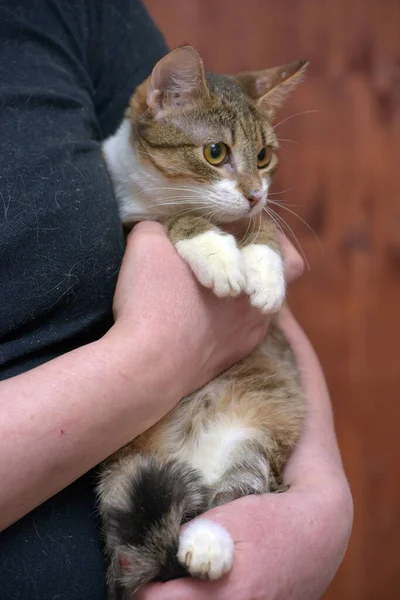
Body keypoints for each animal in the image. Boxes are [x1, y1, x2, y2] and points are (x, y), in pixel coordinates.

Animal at [99, 44, 306, 596]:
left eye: (264, 156)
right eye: (216, 152)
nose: (255, 192)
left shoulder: (255, 215)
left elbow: (263, 229)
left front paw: (265, 270)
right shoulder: (129, 220)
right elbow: (170, 218)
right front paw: (216, 253)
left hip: (256, 437)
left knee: (237, 492)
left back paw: (207, 543)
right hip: (129, 463)